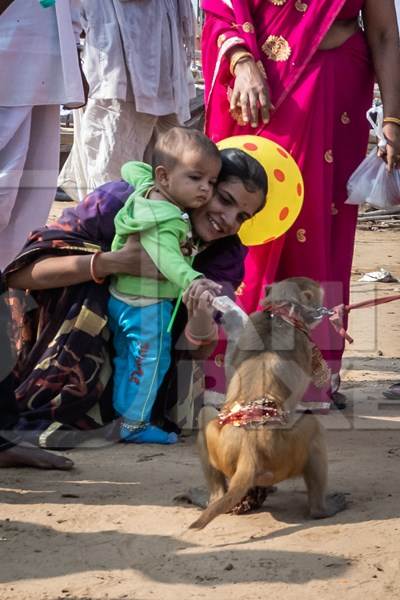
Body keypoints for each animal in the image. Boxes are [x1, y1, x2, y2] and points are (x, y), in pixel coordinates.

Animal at [189, 276, 346, 528]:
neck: (279, 313)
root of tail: (249, 451)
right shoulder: (304, 343)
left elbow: (231, 369)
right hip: (285, 451)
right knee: (313, 428)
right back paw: (321, 509)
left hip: (223, 447)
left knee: (206, 415)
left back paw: (214, 497)